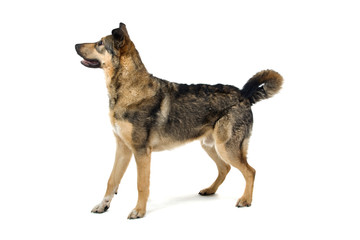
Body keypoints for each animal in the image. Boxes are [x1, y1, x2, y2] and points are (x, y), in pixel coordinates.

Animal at [74, 22, 282, 219]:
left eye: (100, 43)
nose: (75, 45)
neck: (128, 88)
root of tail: (244, 96)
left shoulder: (141, 152)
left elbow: (141, 185)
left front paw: (139, 211)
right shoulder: (122, 148)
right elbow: (112, 180)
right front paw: (103, 205)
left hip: (226, 147)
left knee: (250, 171)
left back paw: (245, 200)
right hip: (210, 145)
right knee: (225, 168)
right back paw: (210, 190)